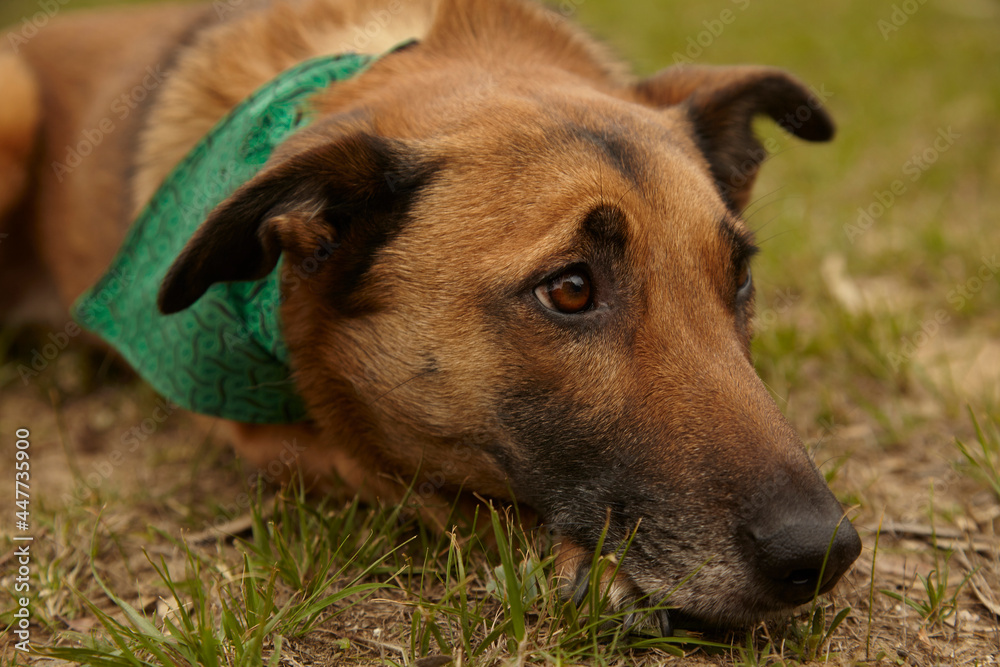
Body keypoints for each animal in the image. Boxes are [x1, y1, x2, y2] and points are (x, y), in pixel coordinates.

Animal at [0, 0, 860, 632]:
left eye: (738, 278)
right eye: (570, 290)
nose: (823, 553)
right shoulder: (266, 433)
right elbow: (424, 481)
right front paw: (576, 560)